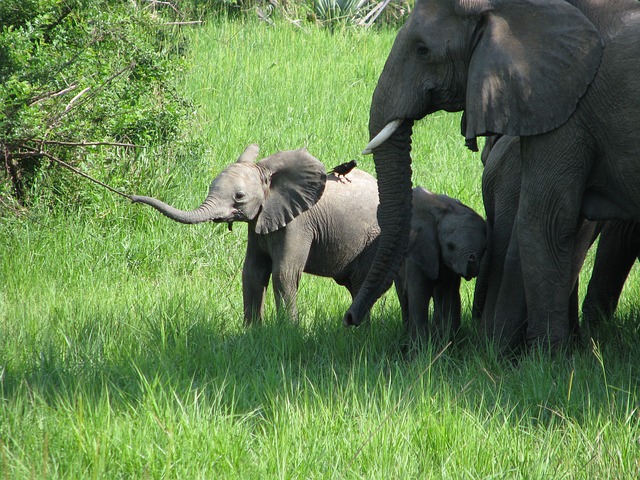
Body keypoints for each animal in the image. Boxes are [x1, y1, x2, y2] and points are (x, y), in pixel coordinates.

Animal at [129, 142, 380, 322]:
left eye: (239, 196)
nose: (131, 198)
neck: (268, 175)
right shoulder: (259, 223)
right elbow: (252, 271)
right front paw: (251, 332)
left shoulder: (299, 223)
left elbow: (284, 273)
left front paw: (288, 330)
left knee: (361, 283)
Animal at [396, 186, 484, 344]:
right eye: (450, 246)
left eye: (484, 248)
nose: (472, 259)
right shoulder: (418, 251)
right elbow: (419, 295)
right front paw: (420, 349)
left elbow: (448, 296)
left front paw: (448, 345)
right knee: (403, 296)